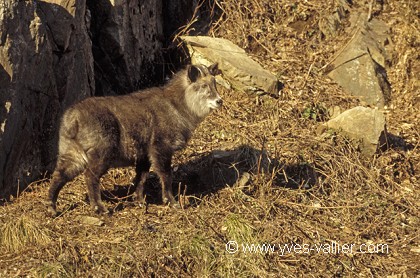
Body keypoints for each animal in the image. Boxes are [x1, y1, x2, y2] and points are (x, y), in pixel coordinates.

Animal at [46, 64, 223, 216]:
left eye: (215, 83)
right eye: (203, 85)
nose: (219, 101)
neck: (177, 106)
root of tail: (73, 118)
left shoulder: (143, 155)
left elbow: (141, 178)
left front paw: (138, 201)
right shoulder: (161, 147)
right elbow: (166, 175)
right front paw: (171, 201)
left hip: (72, 153)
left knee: (59, 175)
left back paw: (52, 207)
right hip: (102, 153)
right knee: (90, 176)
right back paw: (99, 208)